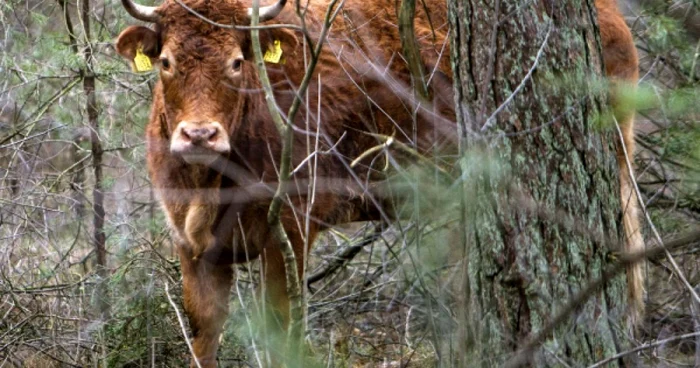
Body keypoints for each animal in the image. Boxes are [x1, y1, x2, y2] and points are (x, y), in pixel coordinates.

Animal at [113, 0, 640, 366]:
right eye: (166, 62)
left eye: (237, 63)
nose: (199, 134)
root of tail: (610, 19)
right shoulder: (192, 245)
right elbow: (204, 333)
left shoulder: (291, 230)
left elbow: (282, 324)